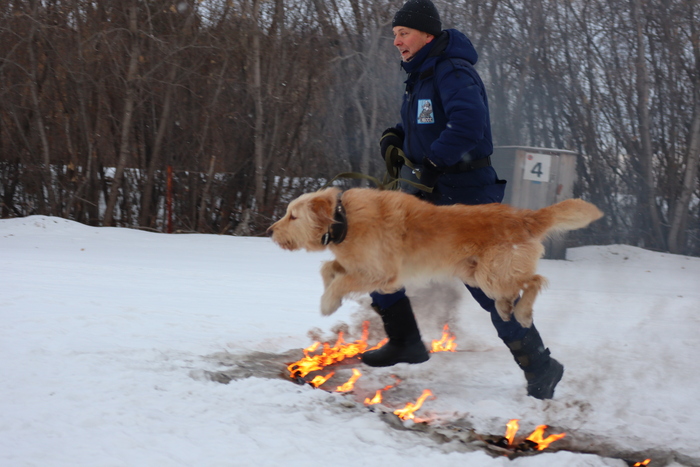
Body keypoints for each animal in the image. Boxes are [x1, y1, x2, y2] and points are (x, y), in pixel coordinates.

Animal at [267, 187, 603, 327]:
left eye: (293, 216)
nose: (270, 231)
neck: (344, 221)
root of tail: (524, 216)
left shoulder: (381, 273)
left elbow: (339, 281)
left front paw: (328, 304)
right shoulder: (357, 265)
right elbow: (328, 269)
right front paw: (331, 296)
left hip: (492, 273)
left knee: (536, 280)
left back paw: (521, 313)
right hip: (475, 274)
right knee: (519, 287)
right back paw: (506, 307)